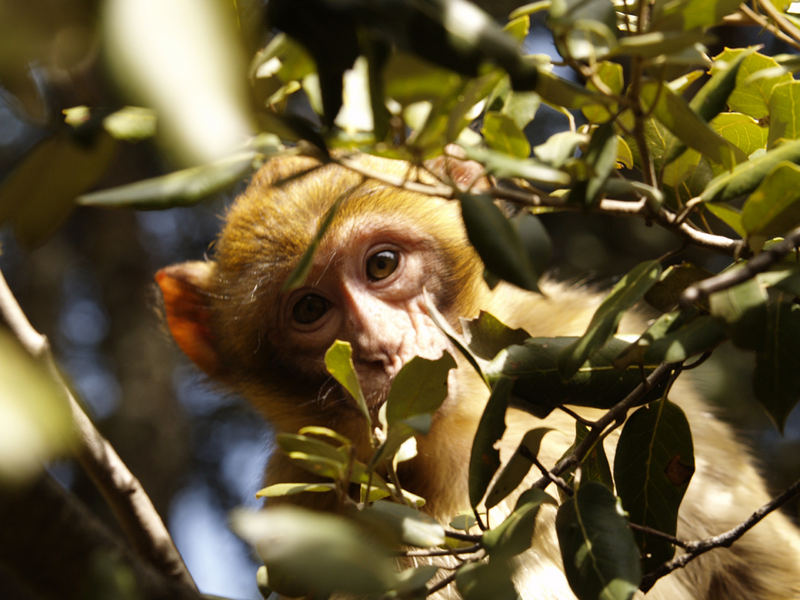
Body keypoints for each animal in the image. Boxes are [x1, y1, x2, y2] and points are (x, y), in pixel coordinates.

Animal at [155, 154, 800, 600]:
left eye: (381, 264)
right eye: (310, 309)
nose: (383, 348)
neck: (463, 438)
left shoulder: (580, 332)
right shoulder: (300, 504)